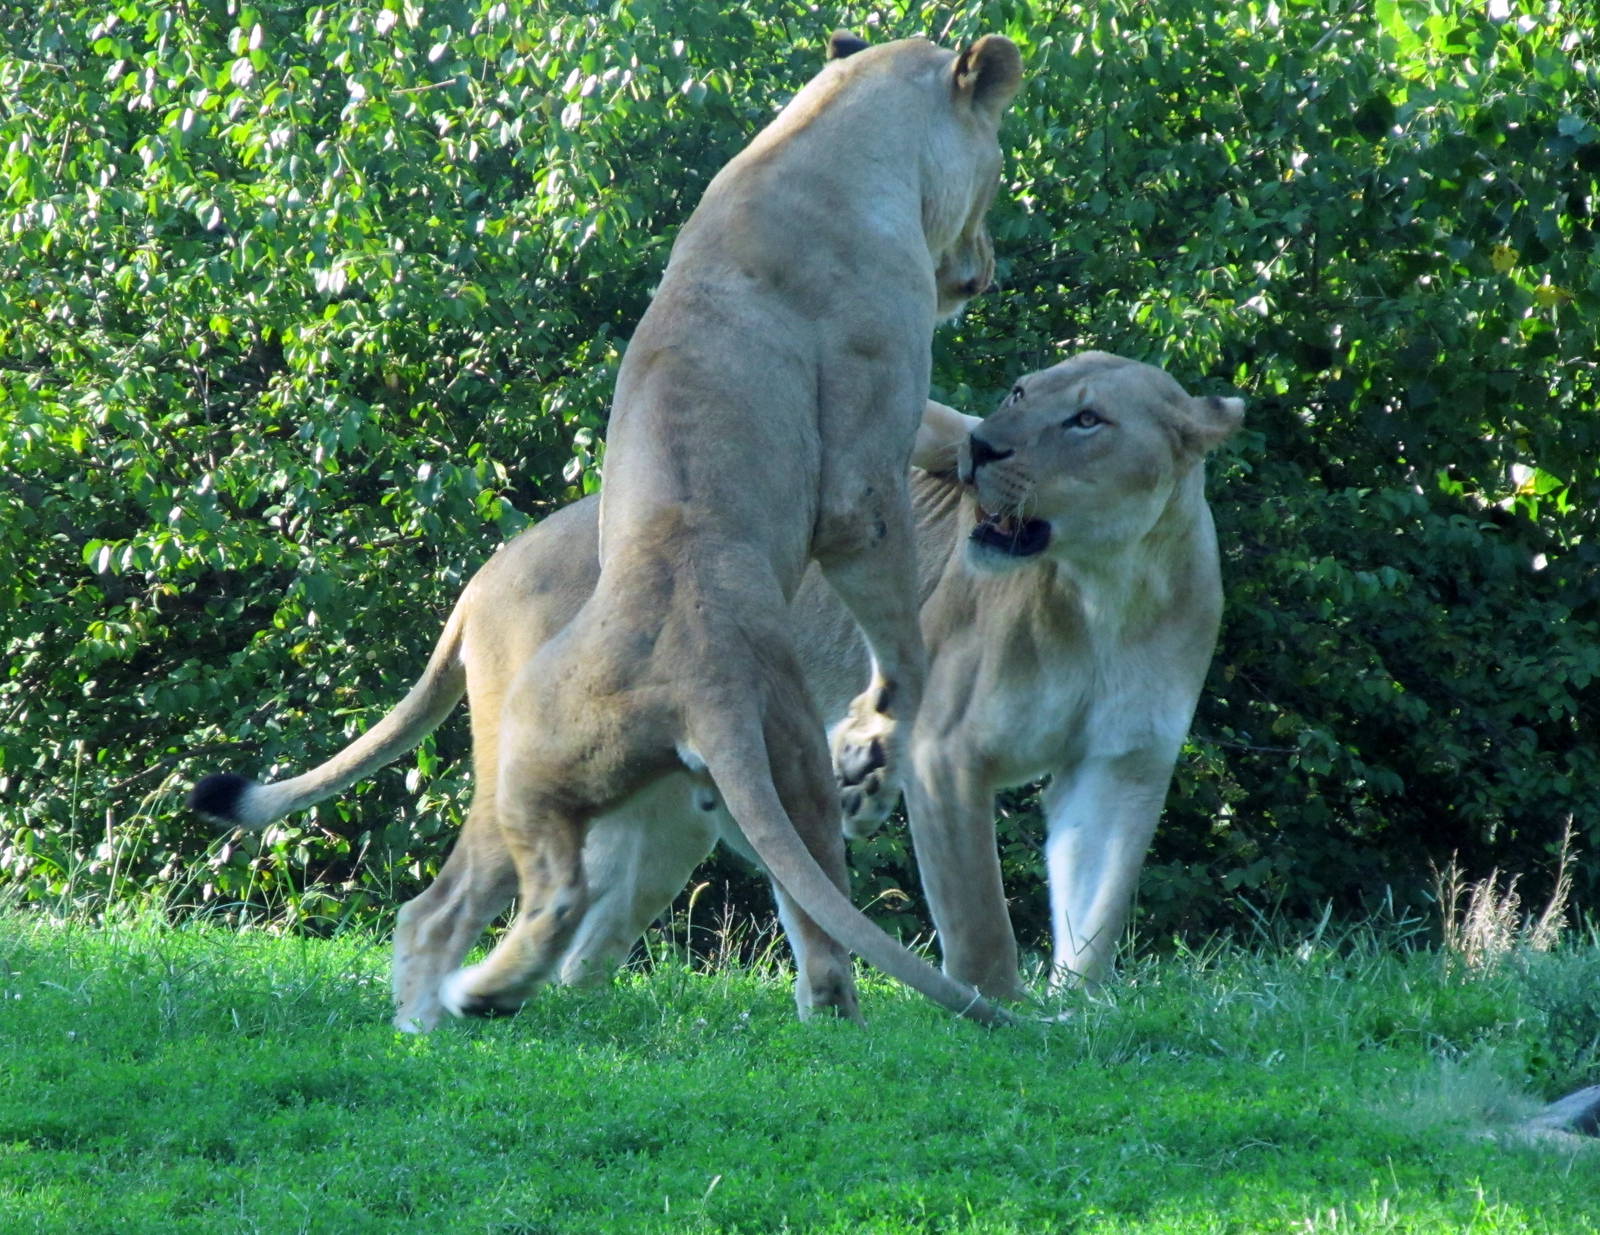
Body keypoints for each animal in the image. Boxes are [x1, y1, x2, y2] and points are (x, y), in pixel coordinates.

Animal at [190, 31, 1024, 1029]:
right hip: (678, 758)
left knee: (542, 904)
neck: (828, 136)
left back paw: (473, 1005)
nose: (986, 267)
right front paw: (875, 737)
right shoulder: (862, 477)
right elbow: (902, 642)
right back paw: (471, 1004)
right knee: (553, 905)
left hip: (607, 777)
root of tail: (695, 687)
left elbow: (956, 432)